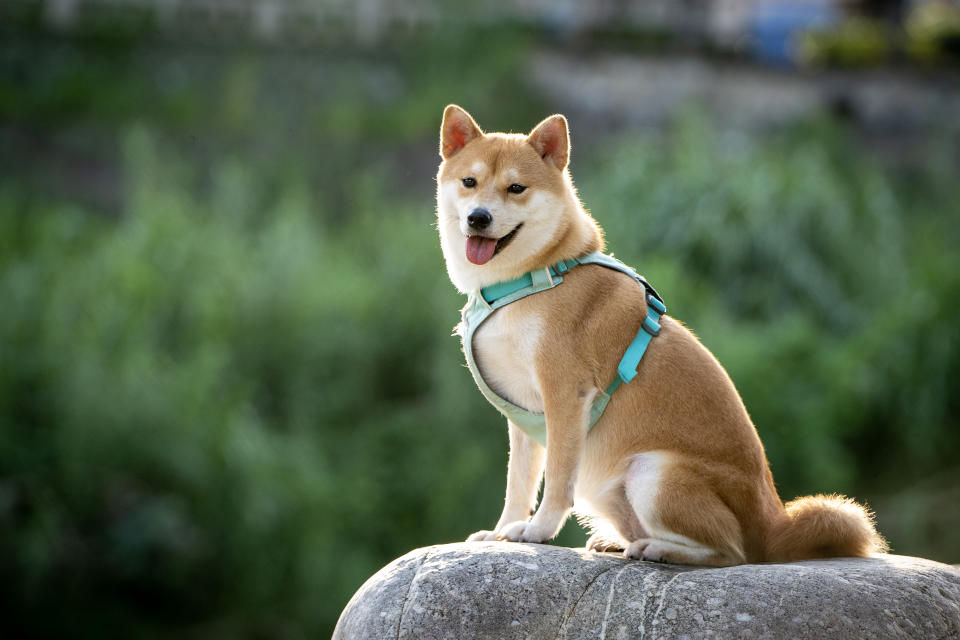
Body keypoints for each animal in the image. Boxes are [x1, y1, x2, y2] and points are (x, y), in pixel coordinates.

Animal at [436, 105, 884, 564]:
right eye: (469, 182)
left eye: (516, 188)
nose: (478, 217)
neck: (535, 276)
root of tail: (772, 526)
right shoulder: (523, 412)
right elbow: (518, 485)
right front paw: (501, 531)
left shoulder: (564, 396)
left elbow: (557, 481)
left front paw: (539, 531)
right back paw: (621, 540)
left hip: (652, 472)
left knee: (729, 552)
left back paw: (659, 549)